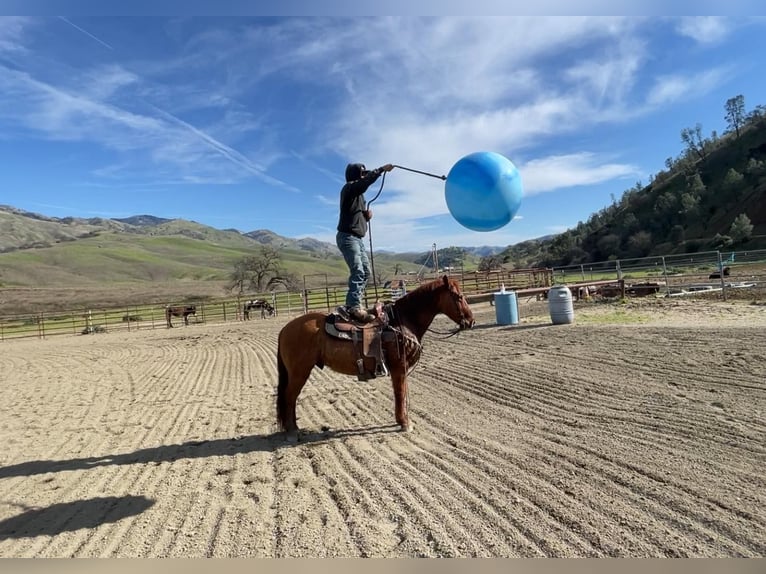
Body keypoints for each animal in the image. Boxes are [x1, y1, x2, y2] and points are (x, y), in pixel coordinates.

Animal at [270, 276, 474, 444]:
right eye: (458, 296)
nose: (471, 321)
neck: (402, 321)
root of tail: (284, 329)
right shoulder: (399, 368)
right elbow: (400, 393)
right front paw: (405, 423)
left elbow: (401, 393)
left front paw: (402, 420)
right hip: (300, 372)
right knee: (289, 397)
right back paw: (292, 432)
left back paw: (295, 429)